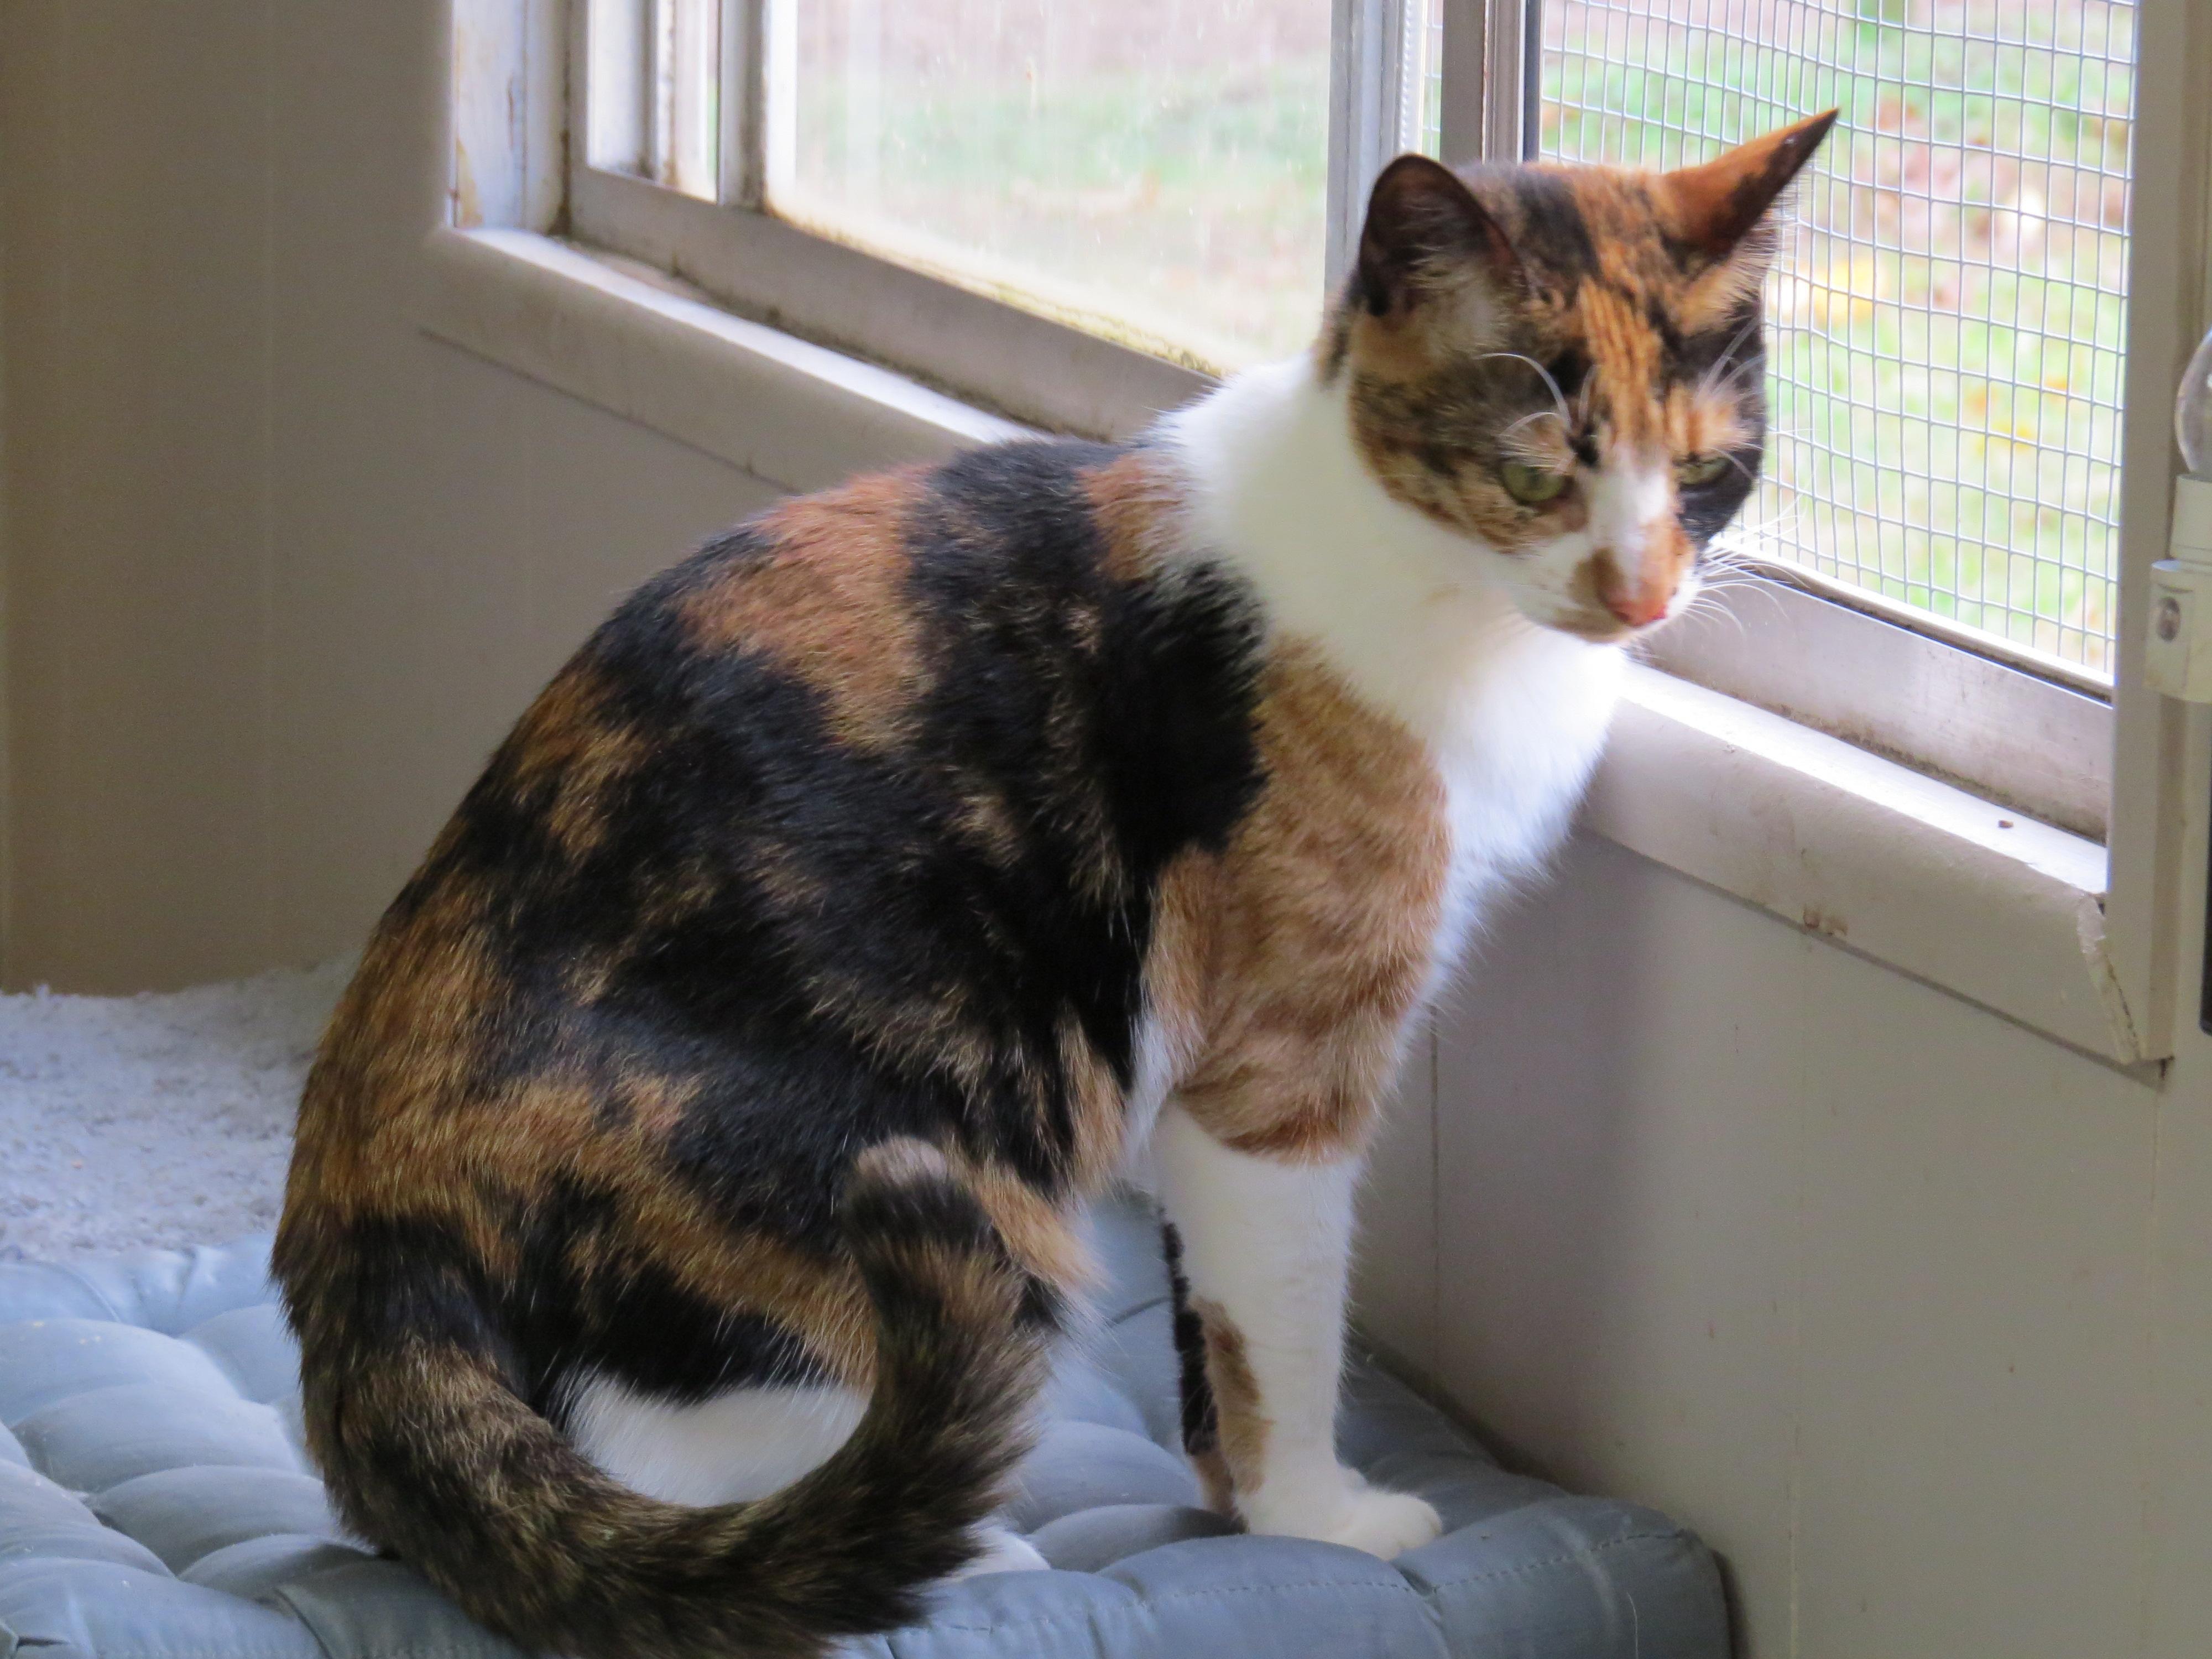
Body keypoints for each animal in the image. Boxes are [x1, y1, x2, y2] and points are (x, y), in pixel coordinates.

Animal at [272, 117, 1832, 1659]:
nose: (1640, 596)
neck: (1420, 576)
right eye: (1534, 473)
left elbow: (1206, 1323)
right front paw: (1319, 1522)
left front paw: (1235, 1503)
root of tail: (366, 1224)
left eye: (1706, 477)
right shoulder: (1282, 1071)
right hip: (914, 1162)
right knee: (691, 1466)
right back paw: (974, 1551)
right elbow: (1284, 1320)